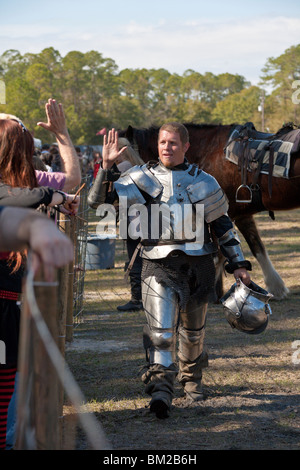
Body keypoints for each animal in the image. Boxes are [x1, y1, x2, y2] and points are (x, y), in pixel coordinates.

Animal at [119, 123, 300, 300]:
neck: (208, 149)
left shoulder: (221, 210)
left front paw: (212, 290)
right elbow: (256, 246)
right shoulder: (241, 215)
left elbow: (219, 251)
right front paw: (276, 287)